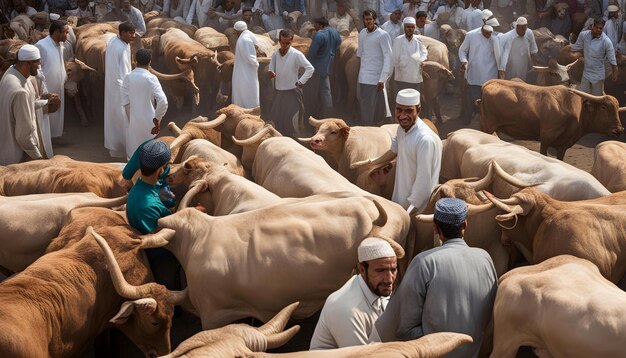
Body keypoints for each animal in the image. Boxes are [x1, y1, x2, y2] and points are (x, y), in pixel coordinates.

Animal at [476, 81, 620, 161]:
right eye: (603, 107)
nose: (619, 130)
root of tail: (489, 84)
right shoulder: (546, 138)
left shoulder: (563, 145)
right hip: (487, 125)